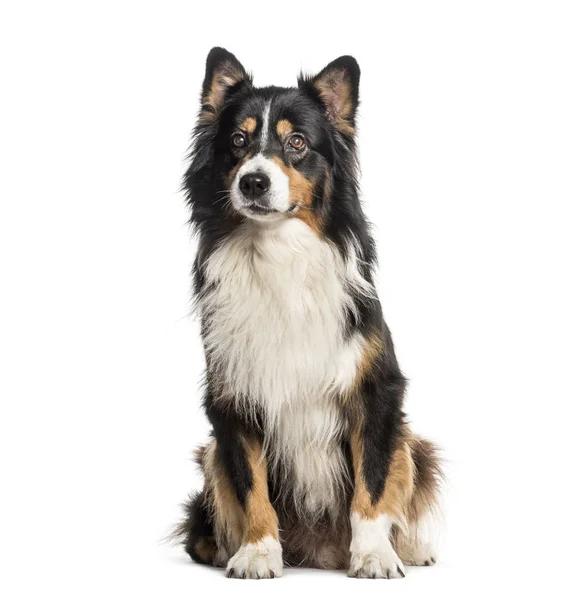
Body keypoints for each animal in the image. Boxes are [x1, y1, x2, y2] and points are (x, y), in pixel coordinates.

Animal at [174, 49, 442, 580]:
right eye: (237, 141)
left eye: (296, 142)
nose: (254, 181)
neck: (279, 249)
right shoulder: (233, 396)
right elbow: (251, 486)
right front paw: (257, 552)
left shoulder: (374, 392)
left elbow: (373, 484)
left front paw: (374, 555)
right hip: (209, 451)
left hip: (411, 440)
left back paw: (409, 548)